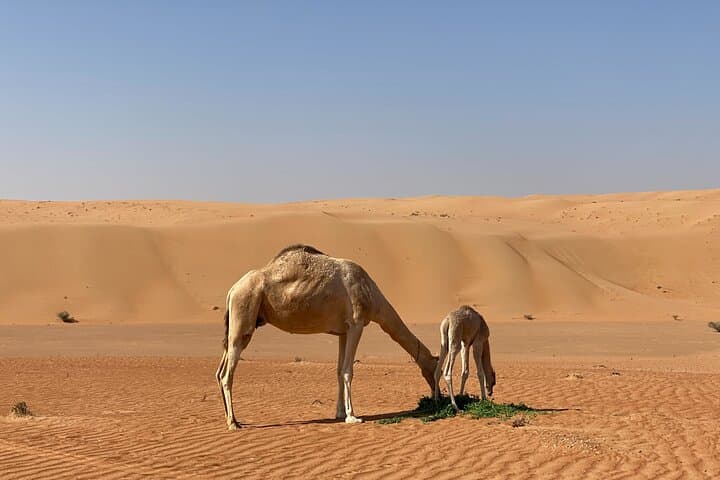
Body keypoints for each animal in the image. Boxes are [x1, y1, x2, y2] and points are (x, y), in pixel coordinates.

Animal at [215, 244, 438, 430]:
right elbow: (348, 371)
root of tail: (232, 290)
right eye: (437, 369)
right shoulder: (356, 324)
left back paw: (232, 418)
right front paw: (352, 416)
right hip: (243, 313)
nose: (438, 396)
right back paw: (233, 423)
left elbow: (339, 370)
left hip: (234, 325)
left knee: (220, 371)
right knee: (227, 373)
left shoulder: (343, 331)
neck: (372, 296)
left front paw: (339, 412)